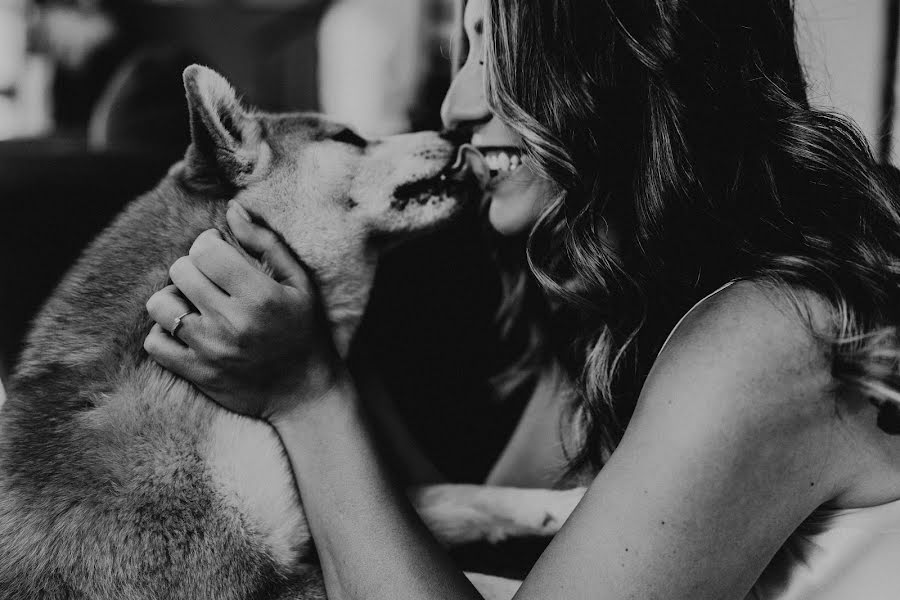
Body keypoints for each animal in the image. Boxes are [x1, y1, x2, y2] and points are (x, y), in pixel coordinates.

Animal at [0, 67, 584, 600]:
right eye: (348, 137)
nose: (451, 133)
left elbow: (460, 495)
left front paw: (563, 504)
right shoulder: (240, 578)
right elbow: (484, 581)